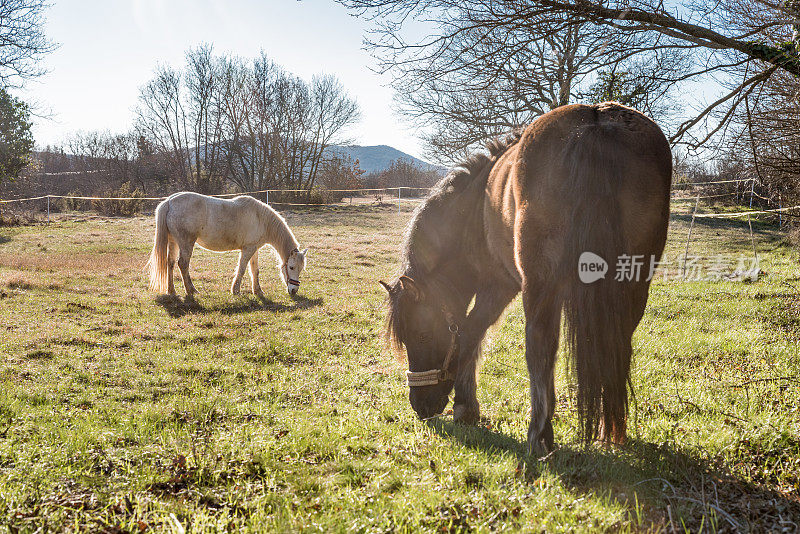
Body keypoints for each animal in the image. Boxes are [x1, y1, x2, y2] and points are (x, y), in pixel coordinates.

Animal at [145, 194, 308, 298]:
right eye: (291, 267)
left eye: (301, 269)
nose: (294, 290)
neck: (260, 218)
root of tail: (169, 202)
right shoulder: (247, 249)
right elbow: (242, 269)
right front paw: (235, 291)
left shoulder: (253, 249)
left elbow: (254, 271)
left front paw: (258, 292)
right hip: (186, 243)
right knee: (183, 264)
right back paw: (192, 290)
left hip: (174, 242)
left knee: (170, 263)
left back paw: (171, 291)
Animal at [384, 102, 672, 454]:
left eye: (422, 334)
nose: (420, 406)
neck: (473, 210)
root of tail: (596, 122)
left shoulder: (498, 286)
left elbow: (470, 333)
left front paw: (466, 408)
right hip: (633, 283)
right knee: (618, 344)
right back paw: (610, 430)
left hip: (540, 284)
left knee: (539, 346)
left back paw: (539, 435)